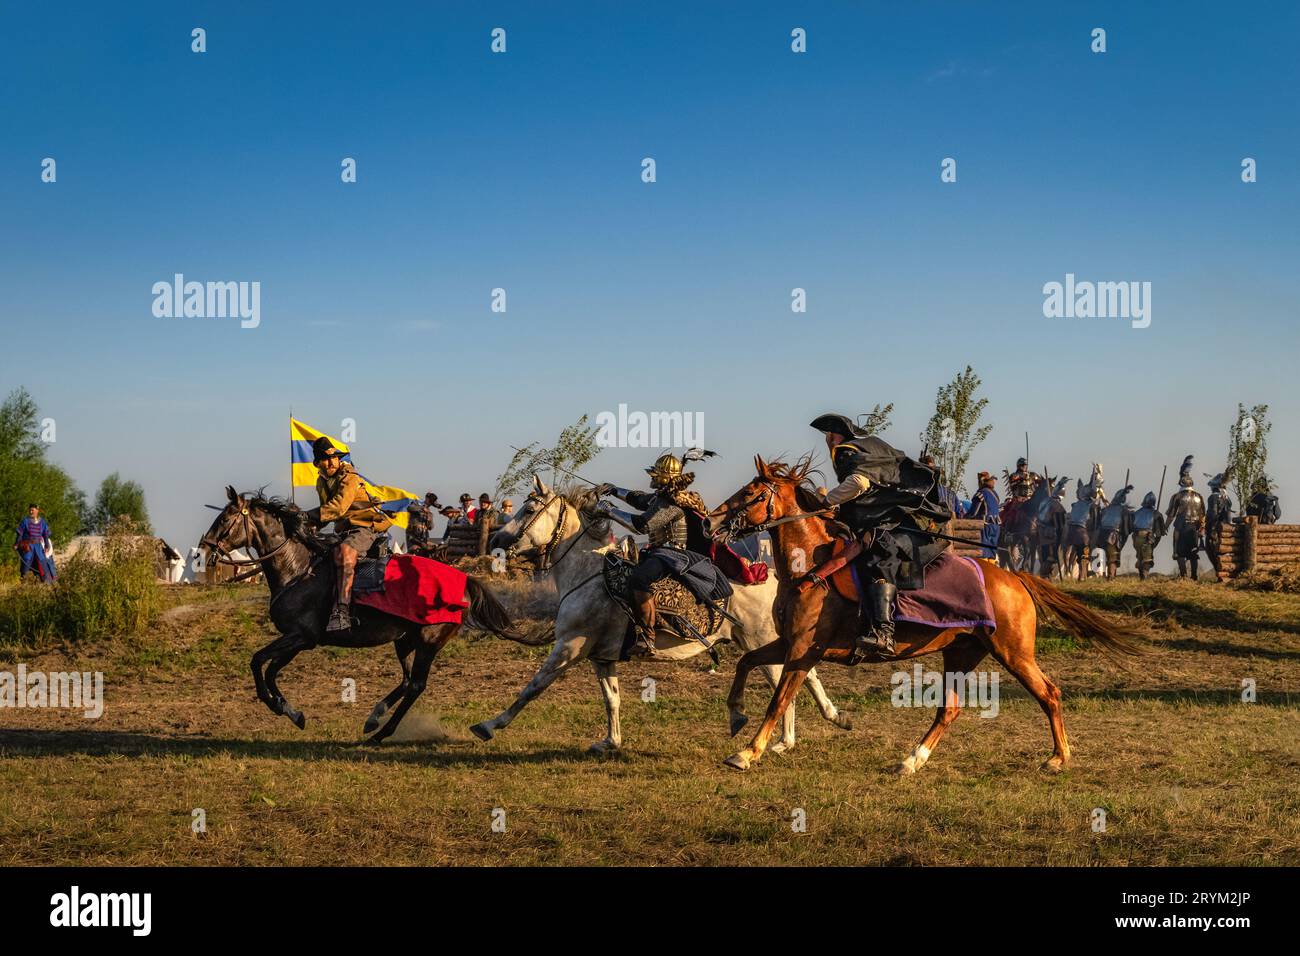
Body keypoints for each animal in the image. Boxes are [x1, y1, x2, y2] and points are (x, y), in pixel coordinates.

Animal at [197, 489, 533, 743]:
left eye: (224, 519)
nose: (203, 551)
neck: (297, 569)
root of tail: (463, 578)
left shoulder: (300, 637)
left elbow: (259, 664)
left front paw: (283, 709)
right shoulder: (296, 640)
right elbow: (267, 668)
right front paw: (290, 711)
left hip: (428, 641)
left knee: (415, 685)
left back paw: (381, 733)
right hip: (405, 640)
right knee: (406, 680)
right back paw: (374, 718)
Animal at [470, 478, 852, 754]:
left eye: (529, 508)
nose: (497, 542)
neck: (587, 573)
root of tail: (772, 577)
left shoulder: (569, 648)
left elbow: (532, 688)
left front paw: (488, 725)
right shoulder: (600, 657)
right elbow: (612, 699)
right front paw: (611, 742)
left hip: (762, 641)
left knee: (789, 682)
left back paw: (784, 739)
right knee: (804, 675)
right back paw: (816, 726)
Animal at [702, 455, 1149, 780]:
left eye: (751, 493)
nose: (711, 519)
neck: (811, 566)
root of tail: (1014, 577)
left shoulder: (803, 650)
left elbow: (778, 700)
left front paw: (747, 752)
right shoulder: (785, 644)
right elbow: (746, 662)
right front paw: (736, 715)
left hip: (1013, 652)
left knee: (1049, 693)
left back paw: (1058, 758)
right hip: (961, 653)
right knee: (948, 710)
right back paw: (911, 760)